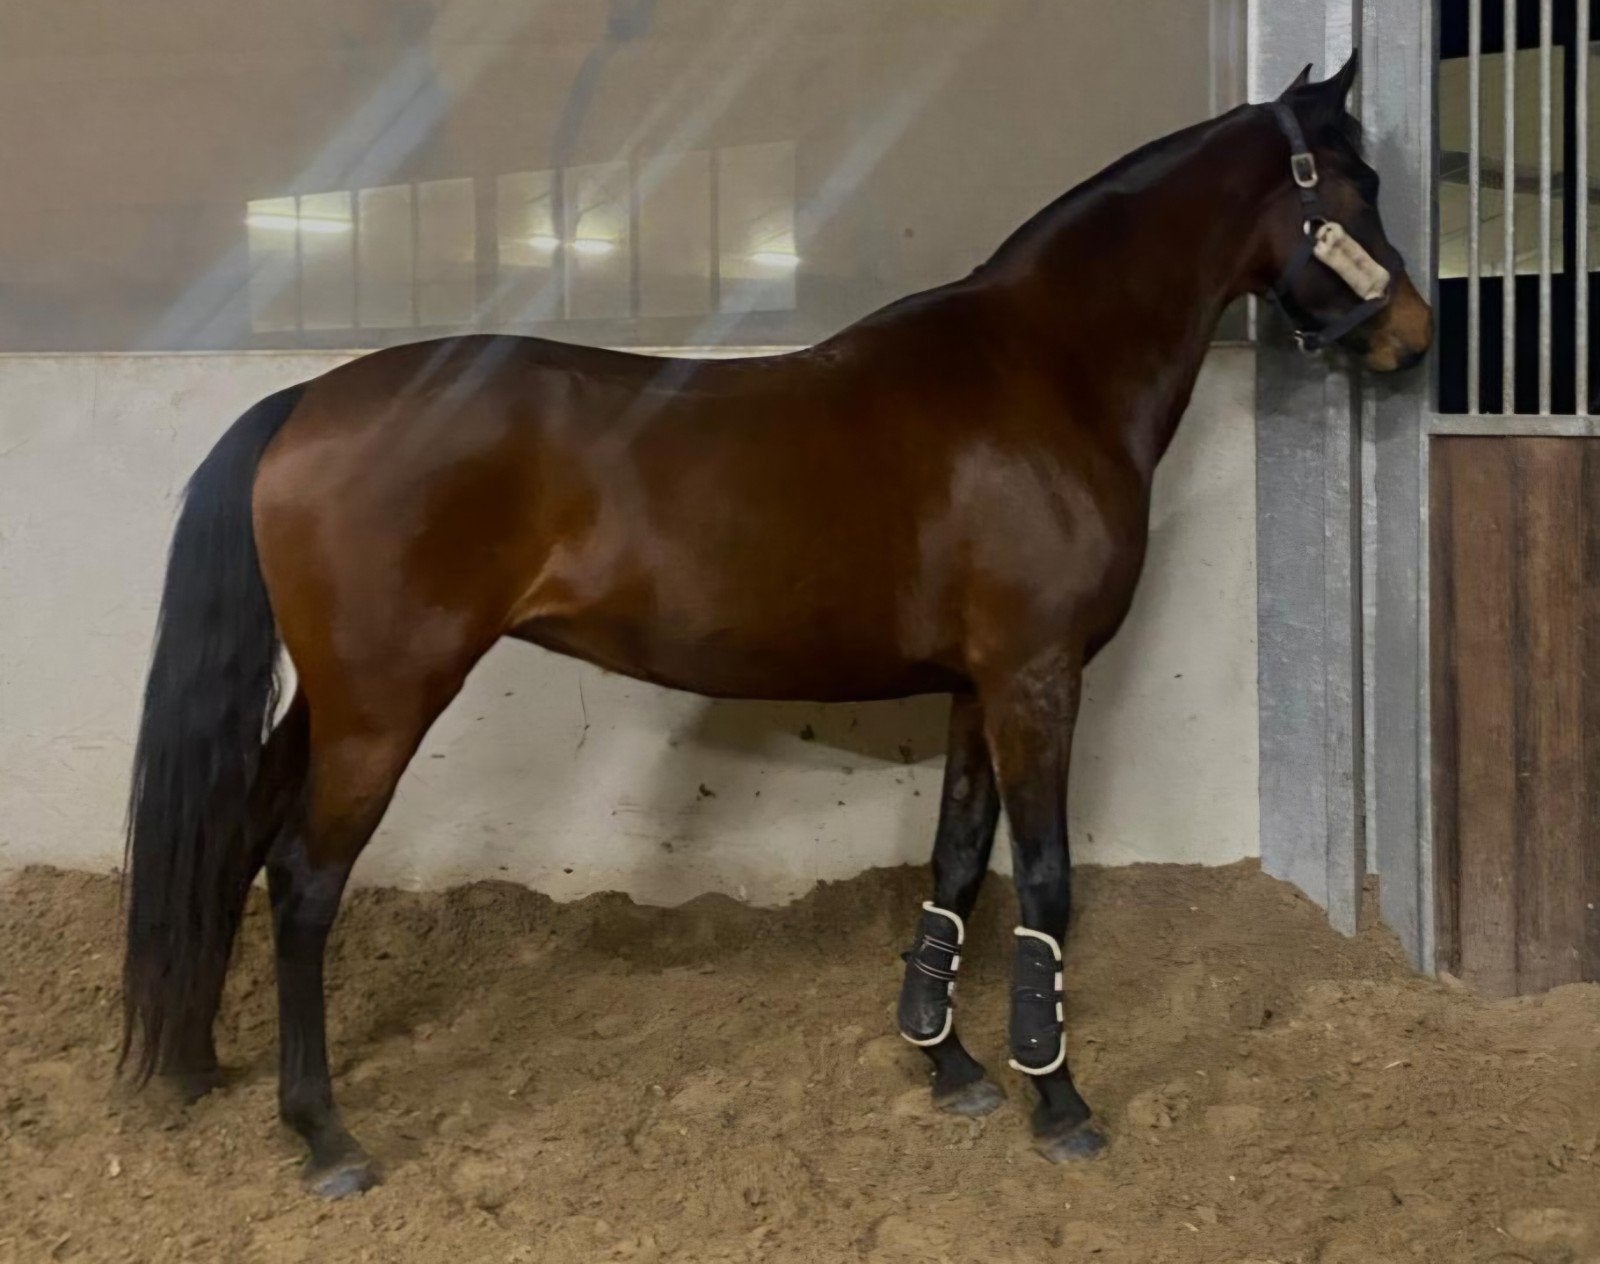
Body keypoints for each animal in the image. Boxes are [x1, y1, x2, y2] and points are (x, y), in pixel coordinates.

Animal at [119, 50, 1431, 1198]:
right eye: (1356, 186)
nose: (1415, 337)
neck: (1043, 373)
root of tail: (308, 399)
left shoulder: (977, 686)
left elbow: (957, 863)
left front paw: (946, 1063)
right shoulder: (1038, 679)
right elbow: (1048, 882)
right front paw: (1057, 1099)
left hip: (329, 705)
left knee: (235, 838)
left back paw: (199, 1062)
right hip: (382, 708)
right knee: (303, 881)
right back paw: (323, 1133)